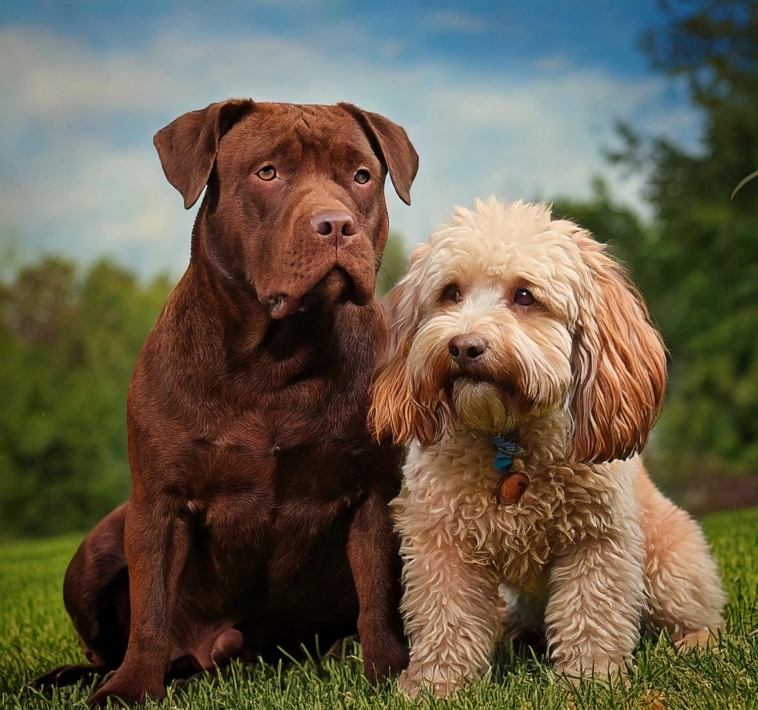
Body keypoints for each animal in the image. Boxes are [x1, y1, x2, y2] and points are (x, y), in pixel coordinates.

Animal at [32, 100, 418, 708]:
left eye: (361, 176)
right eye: (267, 173)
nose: (336, 224)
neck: (275, 361)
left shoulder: (374, 495)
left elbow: (378, 597)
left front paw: (386, 674)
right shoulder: (160, 503)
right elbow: (150, 610)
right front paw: (130, 690)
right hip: (92, 556)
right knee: (107, 646)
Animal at [372, 197, 728, 700]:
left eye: (525, 296)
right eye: (451, 293)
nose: (463, 346)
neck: (509, 438)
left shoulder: (598, 540)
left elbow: (591, 614)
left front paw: (591, 680)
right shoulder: (442, 542)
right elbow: (447, 617)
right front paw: (436, 685)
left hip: (668, 560)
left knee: (698, 614)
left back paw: (698, 643)